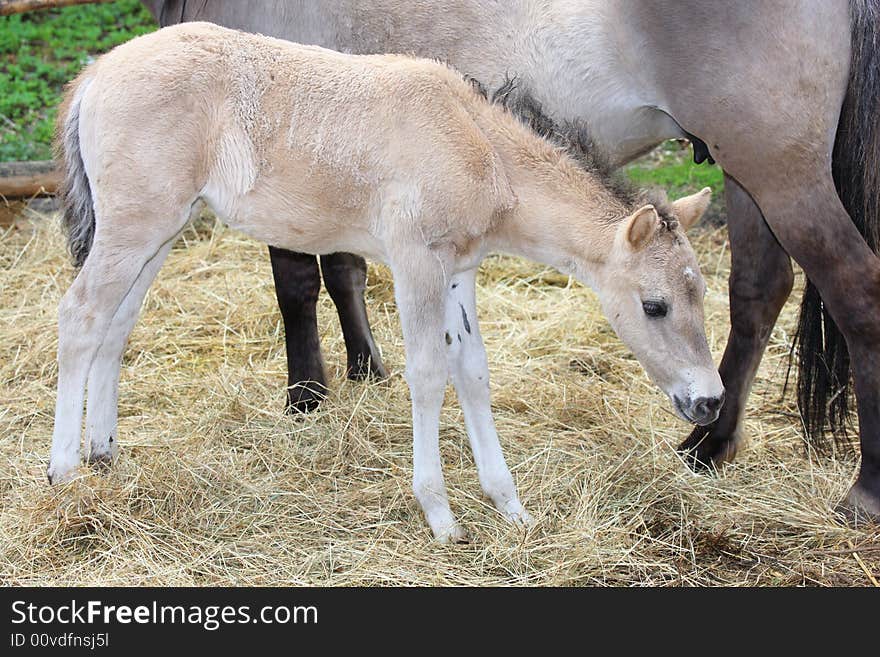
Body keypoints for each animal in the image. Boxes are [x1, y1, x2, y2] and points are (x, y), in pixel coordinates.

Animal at [49, 23, 720, 540]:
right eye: (655, 306)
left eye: (701, 296)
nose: (708, 402)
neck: (477, 143)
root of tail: (97, 73)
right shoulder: (416, 261)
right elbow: (427, 374)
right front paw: (442, 516)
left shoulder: (458, 270)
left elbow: (472, 372)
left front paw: (511, 507)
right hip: (135, 226)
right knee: (81, 316)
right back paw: (64, 471)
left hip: (160, 231)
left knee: (116, 325)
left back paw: (105, 453)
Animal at [143, 1, 880, 524]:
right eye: (656, 306)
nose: (700, 401)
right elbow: (344, 267)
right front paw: (363, 367)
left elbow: (297, 280)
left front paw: (307, 396)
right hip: (746, 175)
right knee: (760, 290)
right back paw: (707, 447)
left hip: (779, 172)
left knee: (856, 293)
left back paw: (860, 490)